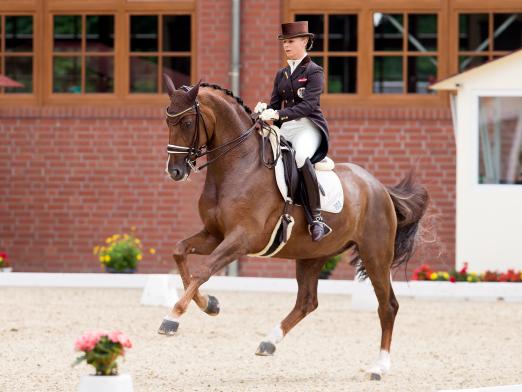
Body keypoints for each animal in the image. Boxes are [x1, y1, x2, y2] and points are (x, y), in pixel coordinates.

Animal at [161, 74, 426, 380]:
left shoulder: (241, 239)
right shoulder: (215, 235)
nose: (175, 172)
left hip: (375, 255)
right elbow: (179, 252)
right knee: (307, 301)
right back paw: (269, 341)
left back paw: (379, 367)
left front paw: (172, 317)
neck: (237, 166)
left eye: (186, 122)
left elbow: (203, 271)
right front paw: (210, 305)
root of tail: (379, 187)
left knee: (388, 306)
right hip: (313, 255)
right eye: (167, 120)